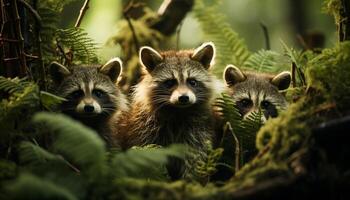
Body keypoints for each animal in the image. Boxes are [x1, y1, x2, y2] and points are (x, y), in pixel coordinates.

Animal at [119, 42, 220, 180]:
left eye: (192, 81)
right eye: (170, 82)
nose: (184, 98)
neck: (178, 111)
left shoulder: (199, 129)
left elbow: (196, 157)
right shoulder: (143, 127)